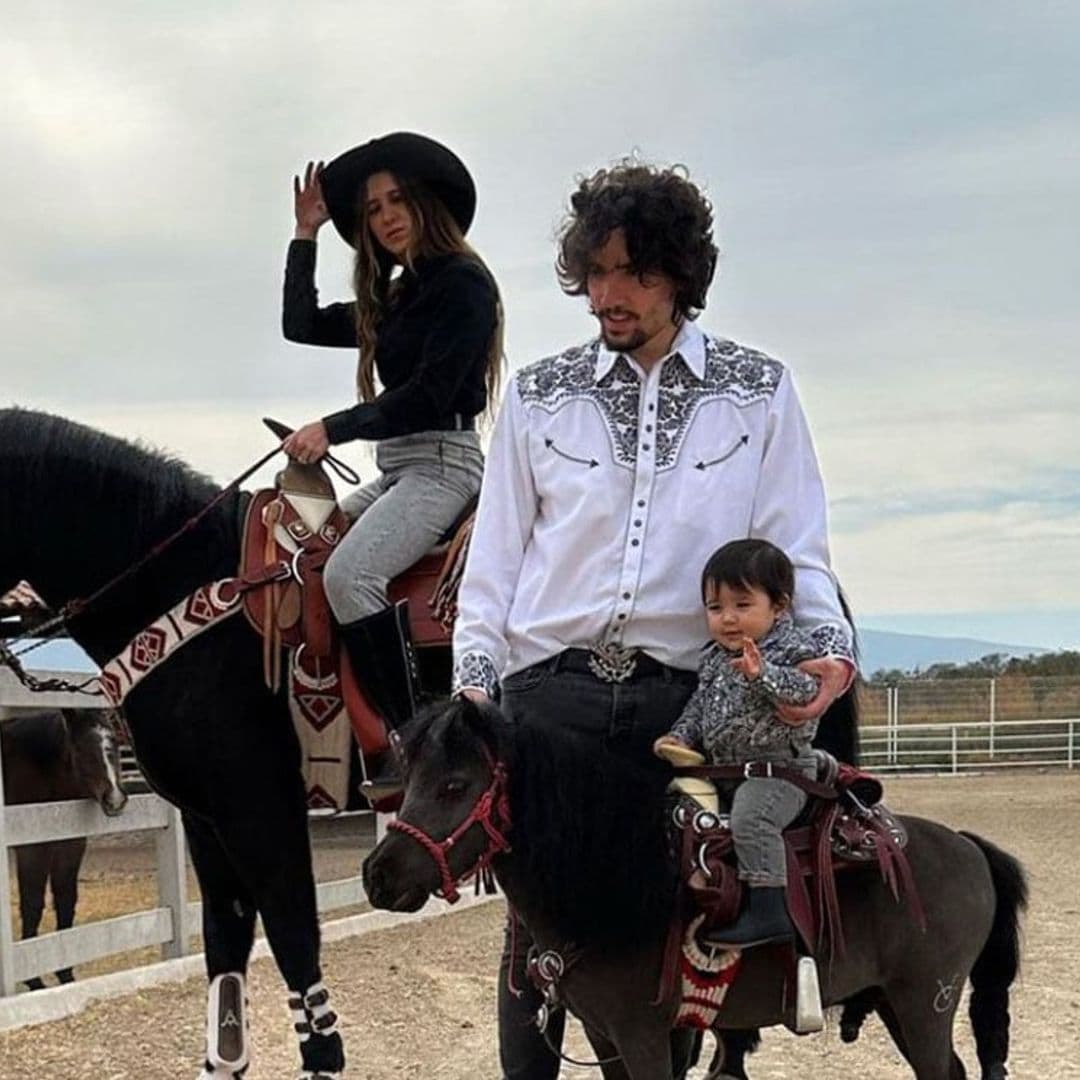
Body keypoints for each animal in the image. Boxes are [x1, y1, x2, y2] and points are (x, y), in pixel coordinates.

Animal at [0, 704, 127, 989]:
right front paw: (34, 979)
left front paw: (66, 974)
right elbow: (32, 902)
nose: (115, 800)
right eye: (80, 749)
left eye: (114, 744)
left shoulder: (71, 845)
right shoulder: (32, 848)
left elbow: (66, 898)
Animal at [362, 699, 1028, 1080]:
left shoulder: (644, 1035)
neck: (626, 883)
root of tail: (969, 847)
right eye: (409, 778)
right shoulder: (605, 1034)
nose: (378, 874)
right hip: (897, 1002)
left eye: (454, 784)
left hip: (926, 1002)